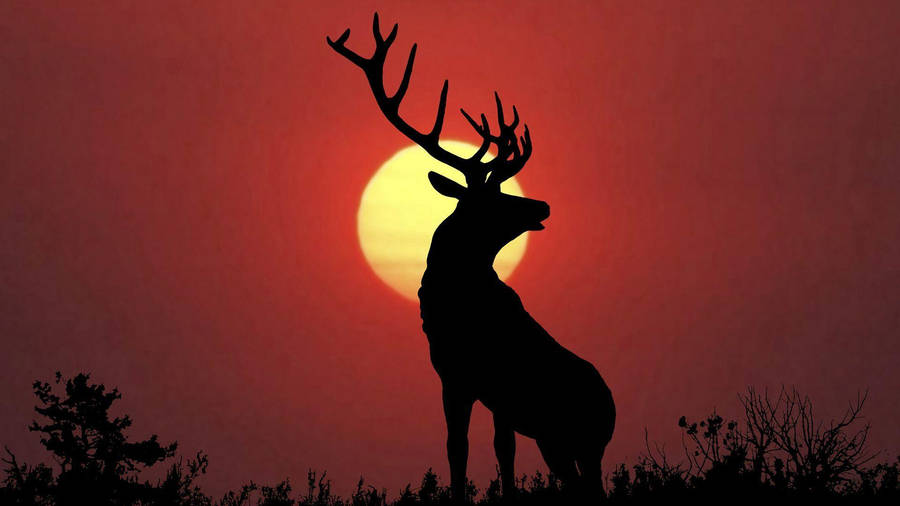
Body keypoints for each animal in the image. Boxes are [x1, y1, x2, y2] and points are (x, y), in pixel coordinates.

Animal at [328, 14, 615, 502]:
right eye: (490, 199)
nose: (541, 205)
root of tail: (611, 409)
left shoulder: (474, 376)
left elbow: (478, 449)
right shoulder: (469, 382)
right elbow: (480, 449)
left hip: (571, 441)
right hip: (565, 444)